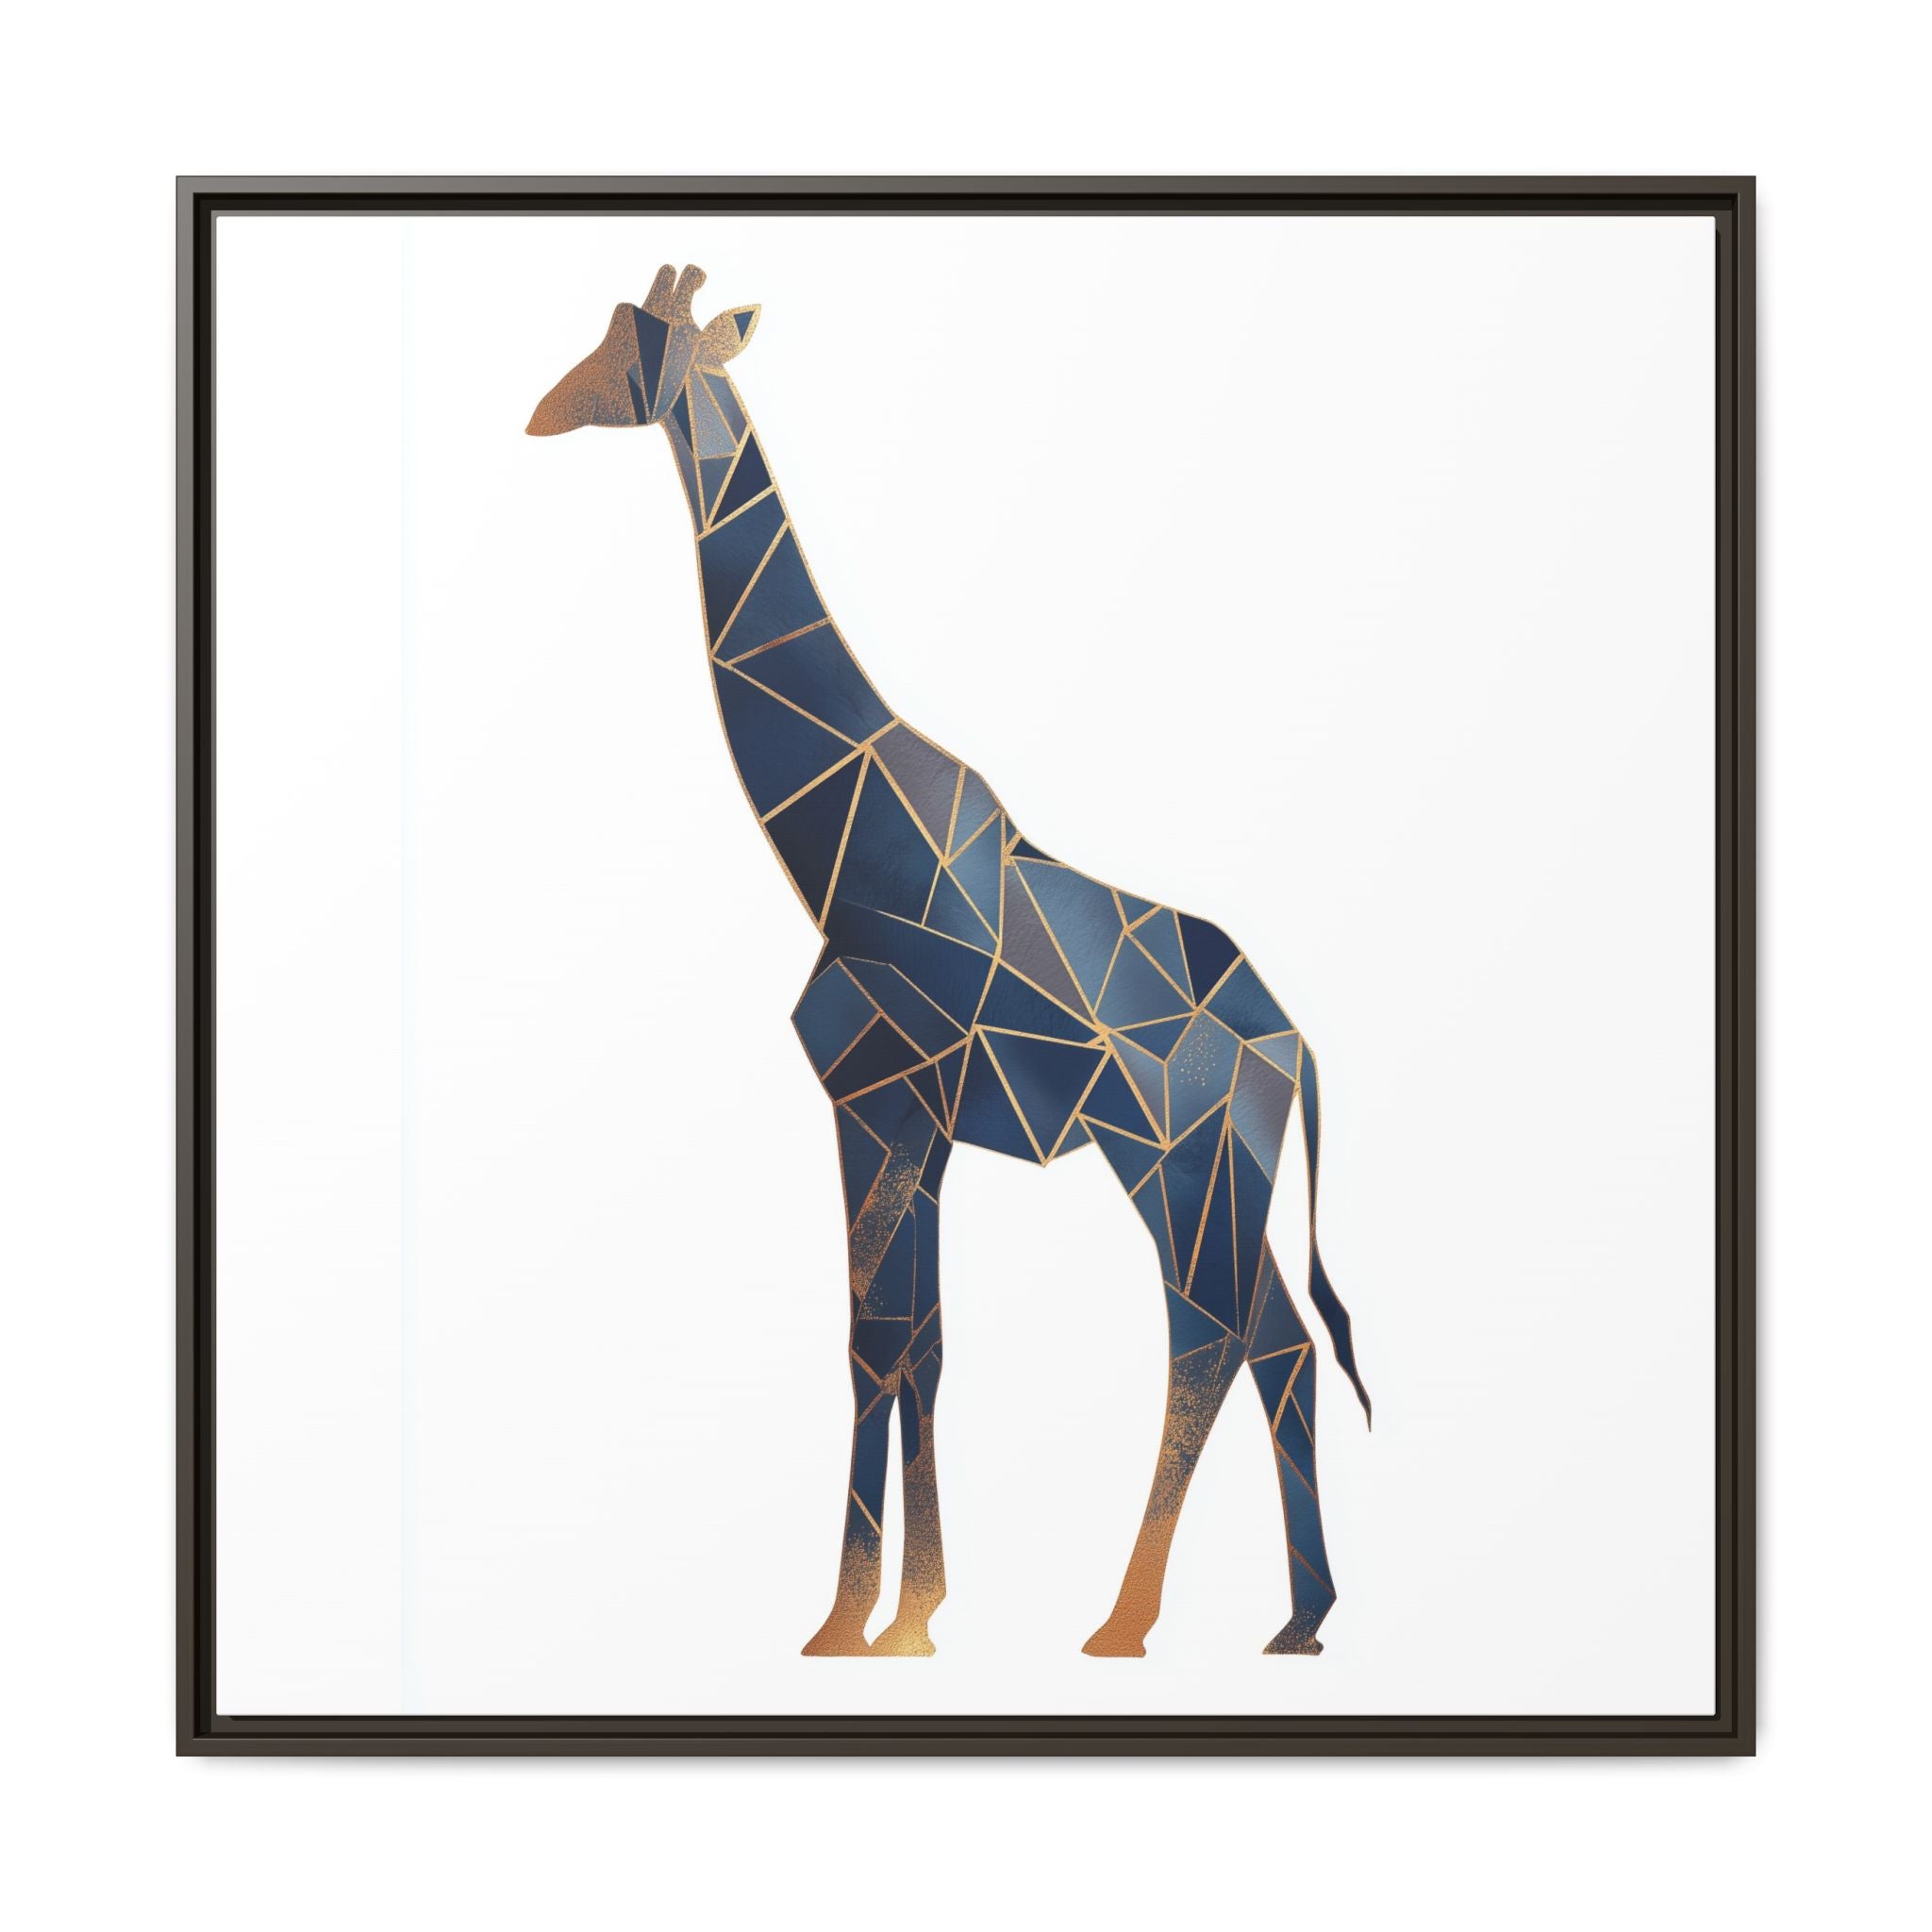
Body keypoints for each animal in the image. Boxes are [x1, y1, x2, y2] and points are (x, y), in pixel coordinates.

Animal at [528, 264, 1371, 1659]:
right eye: (604, 332)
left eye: (640, 349)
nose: (545, 410)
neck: (840, 847)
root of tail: (1293, 1045)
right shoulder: (912, 1123)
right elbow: (916, 1342)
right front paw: (901, 1615)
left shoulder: (875, 1100)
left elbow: (876, 1342)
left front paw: (857, 1620)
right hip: (1214, 1170)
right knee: (1277, 1342)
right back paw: (1296, 1619)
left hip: (1175, 1159)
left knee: (1213, 1335)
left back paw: (1129, 1622)